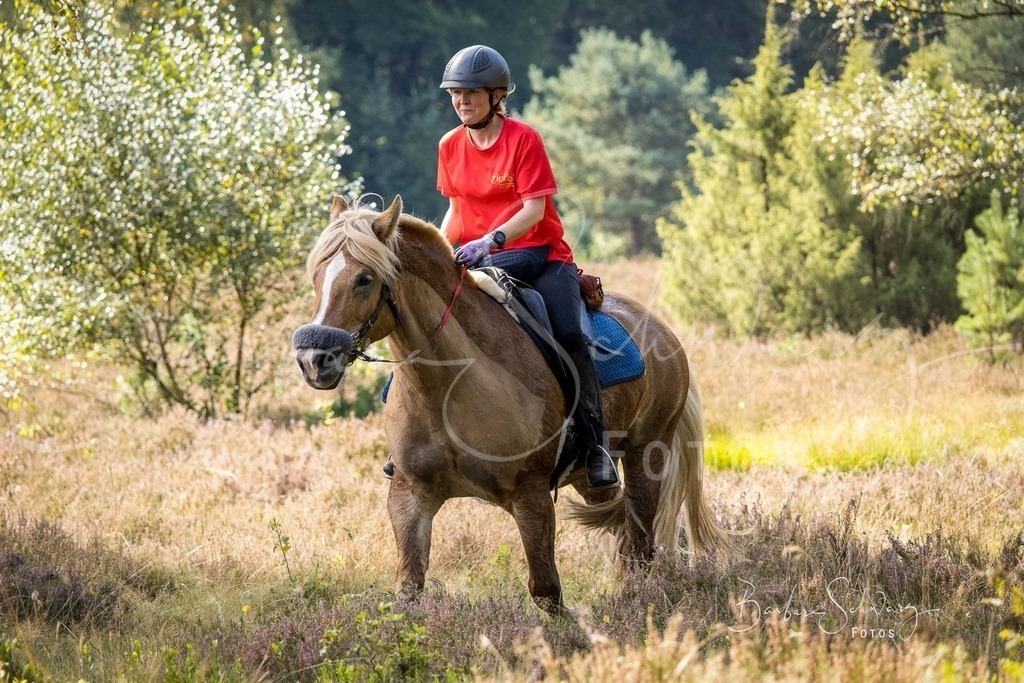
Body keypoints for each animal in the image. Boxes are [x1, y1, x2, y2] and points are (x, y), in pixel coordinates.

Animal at [293, 195, 733, 613]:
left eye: (364, 278)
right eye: (316, 276)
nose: (314, 360)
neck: (447, 385)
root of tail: (661, 329)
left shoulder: (530, 495)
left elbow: (547, 592)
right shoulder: (409, 493)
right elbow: (408, 589)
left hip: (646, 456)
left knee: (640, 542)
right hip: (590, 479)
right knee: (622, 526)